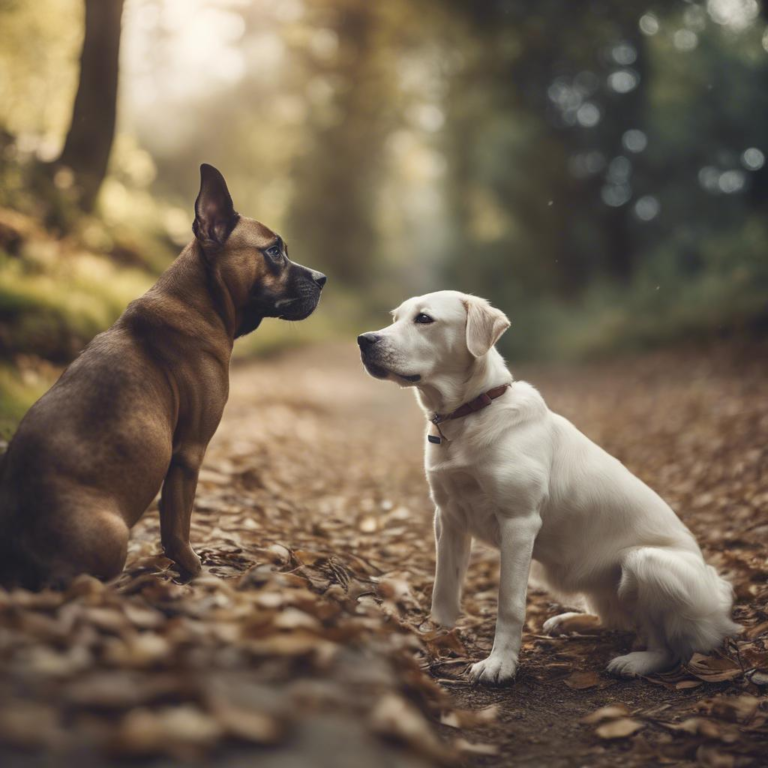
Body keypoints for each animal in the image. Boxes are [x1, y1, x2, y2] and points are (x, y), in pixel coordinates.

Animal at [0, 165, 326, 584]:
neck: (199, 301)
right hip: (113, 533)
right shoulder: (188, 453)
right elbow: (176, 530)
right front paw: (196, 573)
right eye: (273, 251)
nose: (322, 279)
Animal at [356, 290, 740, 684]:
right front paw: (435, 638)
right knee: (617, 620)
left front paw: (499, 663)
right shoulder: (447, 517)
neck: (469, 414)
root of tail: (720, 599)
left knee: (669, 647)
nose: (364, 340)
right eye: (396, 317)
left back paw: (635, 662)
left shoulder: (519, 522)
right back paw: (571, 621)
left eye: (424, 319)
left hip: (646, 563)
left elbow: (509, 604)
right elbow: (443, 592)